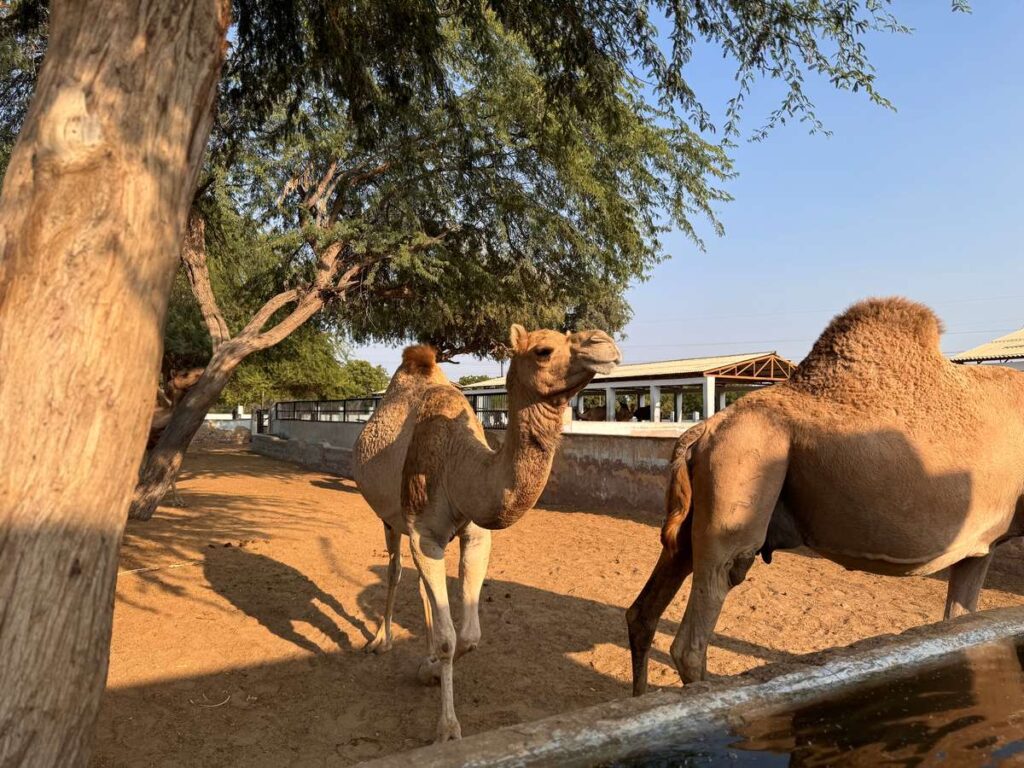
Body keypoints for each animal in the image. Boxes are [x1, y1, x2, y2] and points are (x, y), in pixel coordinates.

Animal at [352, 325, 622, 745]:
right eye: (544, 350)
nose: (604, 343)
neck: (458, 464)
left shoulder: (475, 536)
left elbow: (470, 634)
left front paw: (430, 668)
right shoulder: (423, 534)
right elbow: (450, 637)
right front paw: (447, 728)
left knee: (417, 583)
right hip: (389, 519)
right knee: (395, 571)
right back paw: (381, 640)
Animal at [626, 299, 1024, 696]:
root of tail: (702, 430)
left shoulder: (979, 547)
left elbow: (959, 619)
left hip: (700, 509)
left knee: (645, 608)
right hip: (742, 464)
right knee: (697, 628)